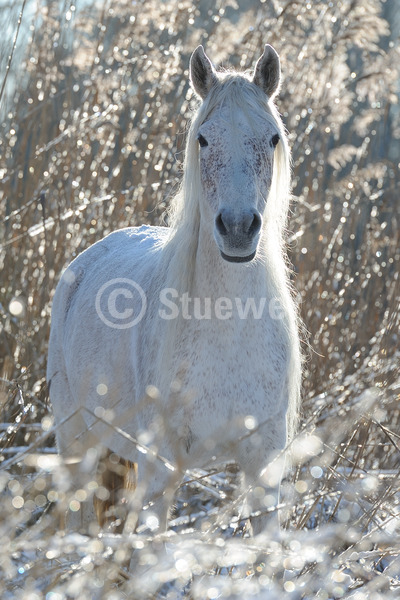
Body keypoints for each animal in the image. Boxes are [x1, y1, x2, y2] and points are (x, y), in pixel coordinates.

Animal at [47, 44, 302, 536]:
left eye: (272, 139)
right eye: (202, 139)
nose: (237, 229)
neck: (229, 328)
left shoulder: (263, 465)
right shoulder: (160, 467)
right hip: (77, 445)